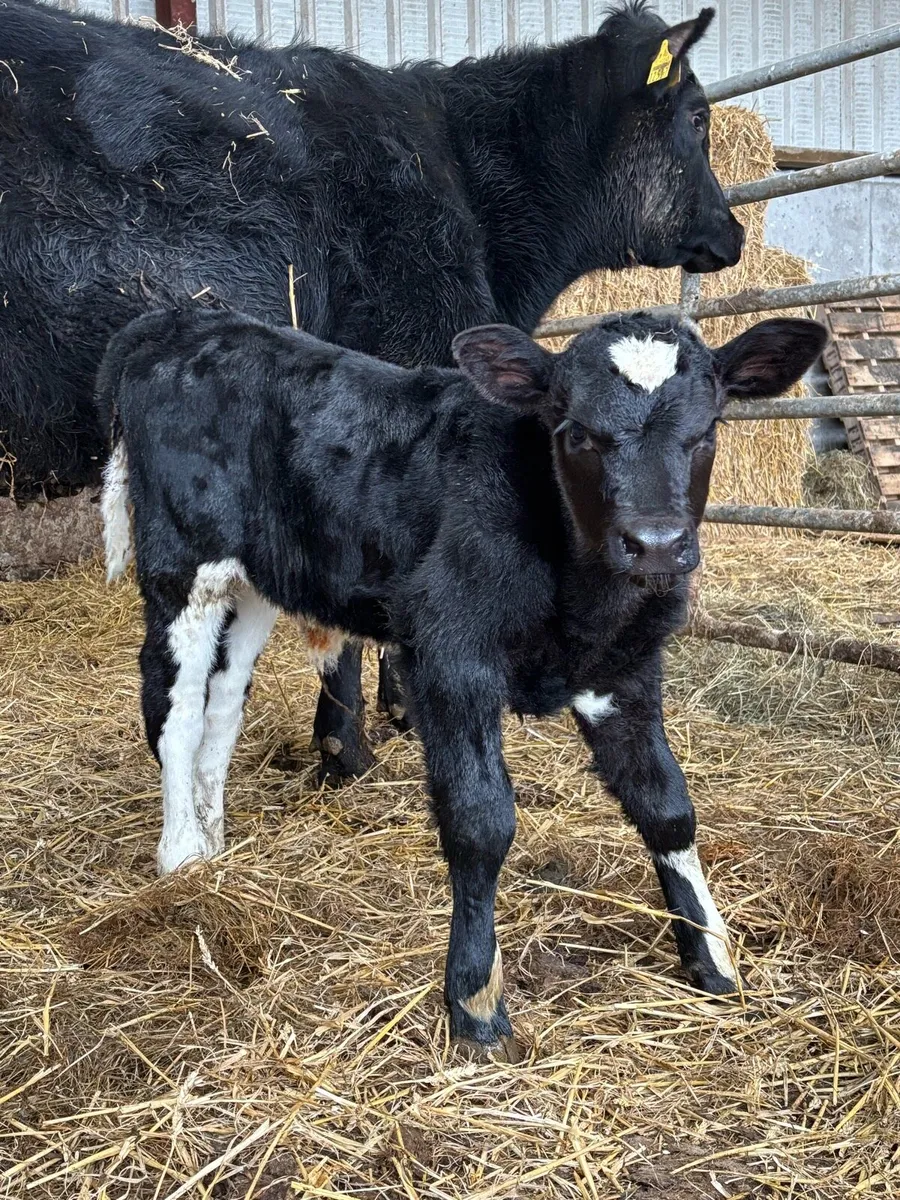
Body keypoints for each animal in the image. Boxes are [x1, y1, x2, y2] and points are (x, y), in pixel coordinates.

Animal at [97, 304, 826, 1059]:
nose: (655, 544)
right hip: (182, 566)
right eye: (575, 433)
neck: (582, 600)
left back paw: (213, 844)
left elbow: (667, 805)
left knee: (222, 708)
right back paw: (181, 856)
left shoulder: (626, 668)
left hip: (255, 582)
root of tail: (179, 319)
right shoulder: (449, 657)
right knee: (176, 711)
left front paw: (712, 957)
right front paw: (476, 1002)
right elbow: (480, 821)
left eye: (707, 430)